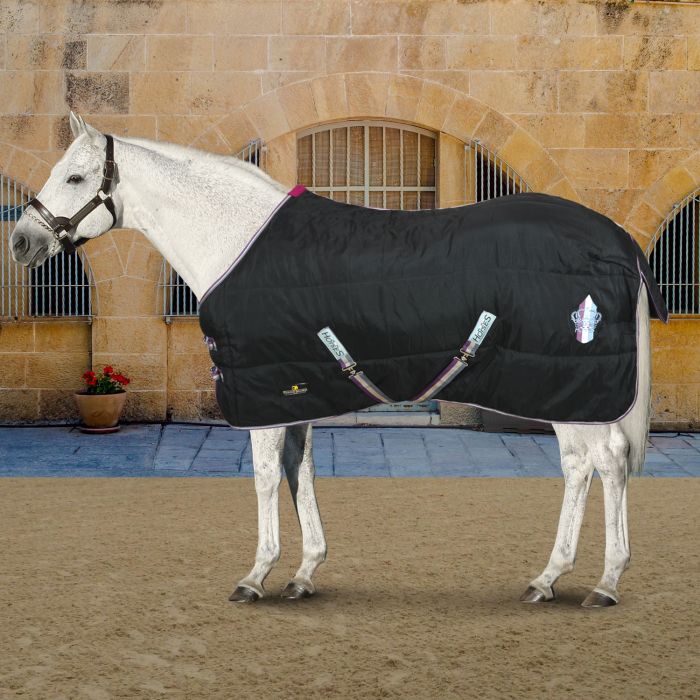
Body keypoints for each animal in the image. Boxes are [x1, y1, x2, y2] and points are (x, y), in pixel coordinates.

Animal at [11, 113, 660, 608]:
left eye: (74, 175)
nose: (20, 241)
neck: (236, 241)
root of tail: (618, 240)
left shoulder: (265, 396)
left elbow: (266, 477)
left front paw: (255, 577)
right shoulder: (295, 389)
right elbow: (301, 472)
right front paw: (303, 574)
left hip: (577, 387)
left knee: (605, 463)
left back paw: (602, 583)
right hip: (565, 388)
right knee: (584, 466)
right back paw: (551, 579)